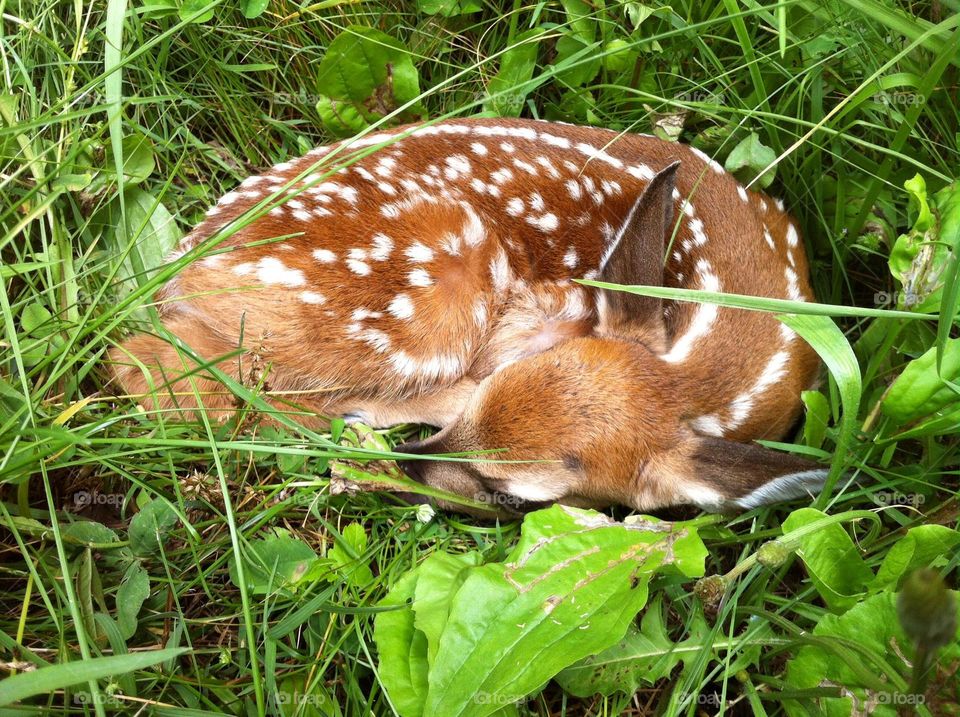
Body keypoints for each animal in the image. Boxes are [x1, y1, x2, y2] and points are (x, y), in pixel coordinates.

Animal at [110, 117, 826, 516]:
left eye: (518, 496)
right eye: (485, 397)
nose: (403, 469)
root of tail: (183, 266)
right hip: (438, 278)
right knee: (160, 371)